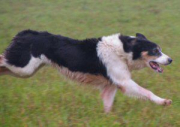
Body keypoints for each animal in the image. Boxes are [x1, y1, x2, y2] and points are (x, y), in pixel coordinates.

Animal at [0, 30, 172, 113]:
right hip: (23, 67)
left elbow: (108, 106)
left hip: (23, 70)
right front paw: (163, 101)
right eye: (155, 51)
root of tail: (26, 33)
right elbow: (147, 92)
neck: (123, 50)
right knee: (2, 59)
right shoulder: (124, 82)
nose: (170, 60)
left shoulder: (111, 85)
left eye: (160, 50)